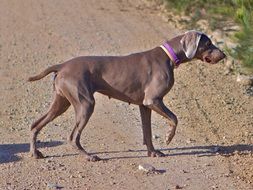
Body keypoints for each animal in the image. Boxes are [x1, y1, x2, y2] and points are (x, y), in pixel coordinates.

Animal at [27, 30, 225, 161]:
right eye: (208, 44)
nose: (223, 55)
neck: (169, 56)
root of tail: (62, 65)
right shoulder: (153, 100)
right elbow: (174, 118)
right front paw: (168, 137)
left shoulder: (145, 105)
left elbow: (147, 132)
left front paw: (153, 152)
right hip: (85, 103)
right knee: (72, 137)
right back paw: (89, 156)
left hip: (62, 102)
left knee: (35, 124)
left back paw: (35, 153)